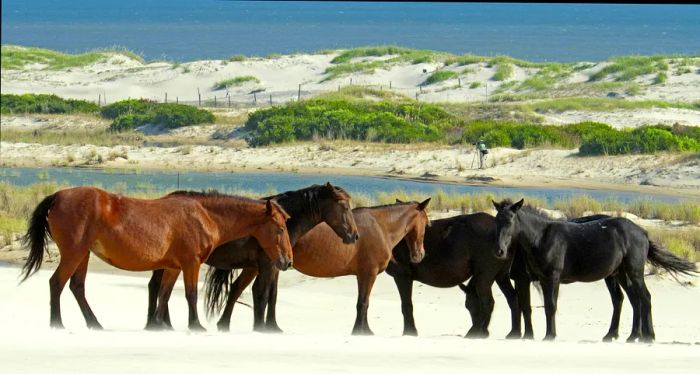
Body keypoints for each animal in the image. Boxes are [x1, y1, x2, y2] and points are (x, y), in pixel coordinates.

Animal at [19, 187, 292, 330]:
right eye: (280, 228)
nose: (287, 261)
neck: (204, 215)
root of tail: (58, 196)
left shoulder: (173, 267)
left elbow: (164, 294)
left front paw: (158, 324)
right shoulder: (191, 263)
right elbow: (190, 294)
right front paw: (195, 326)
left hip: (83, 254)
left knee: (77, 287)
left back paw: (94, 323)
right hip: (74, 253)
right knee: (57, 283)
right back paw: (58, 324)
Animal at [145, 183, 358, 332]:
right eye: (344, 207)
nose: (354, 236)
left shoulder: (263, 266)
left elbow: (256, 292)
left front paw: (231, 324)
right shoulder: (267, 265)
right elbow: (262, 293)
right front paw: (261, 327)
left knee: (158, 286)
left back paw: (159, 323)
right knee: (157, 286)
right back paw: (159, 324)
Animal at [205, 200, 430, 334]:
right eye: (427, 223)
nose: (419, 255)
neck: (380, 226)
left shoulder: (364, 275)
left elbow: (364, 303)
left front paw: (365, 330)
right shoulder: (368, 274)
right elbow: (363, 303)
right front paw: (360, 331)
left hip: (259, 266)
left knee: (239, 289)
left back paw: (230, 325)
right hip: (262, 266)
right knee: (250, 291)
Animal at [490, 199, 696, 342]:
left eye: (510, 220)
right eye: (497, 221)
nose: (499, 250)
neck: (542, 237)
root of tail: (643, 232)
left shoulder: (551, 277)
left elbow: (550, 306)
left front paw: (550, 335)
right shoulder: (538, 279)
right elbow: (535, 306)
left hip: (634, 272)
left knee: (644, 298)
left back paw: (648, 336)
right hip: (620, 274)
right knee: (631, 300)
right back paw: (627, 336)